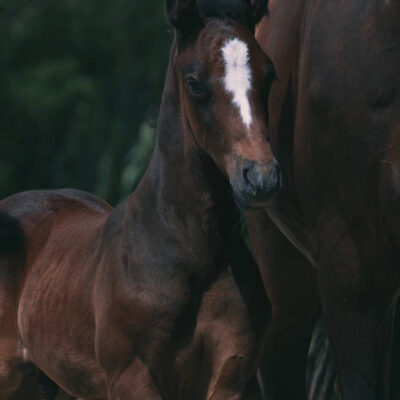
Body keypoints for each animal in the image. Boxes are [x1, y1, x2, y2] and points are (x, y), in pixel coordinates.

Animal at [0, 0, 278, 400]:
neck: (191, 251)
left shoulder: (232, 375)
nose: (260, 177)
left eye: (269, 75)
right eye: (194, 83)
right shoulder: (132, 377)